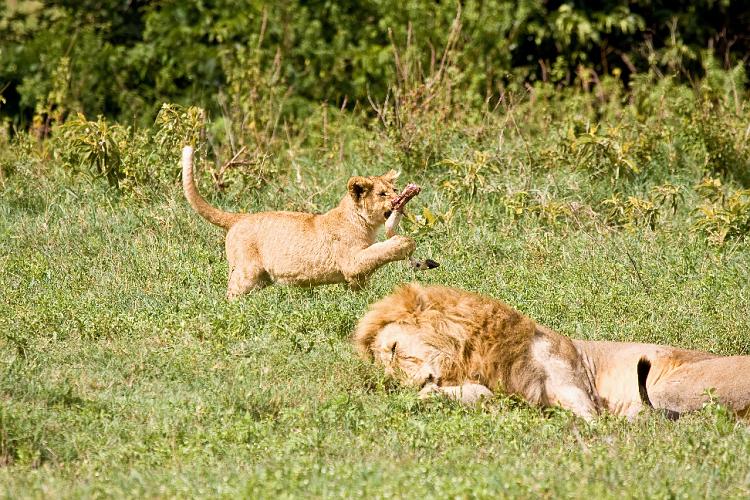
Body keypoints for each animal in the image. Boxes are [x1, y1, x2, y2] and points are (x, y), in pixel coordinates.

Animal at [354, 284, 750, 420]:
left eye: (393, 350)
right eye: (383, 371)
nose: (398, 386)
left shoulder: (572, 381)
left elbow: (588, 417)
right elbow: (481, 395)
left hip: (670, 386)